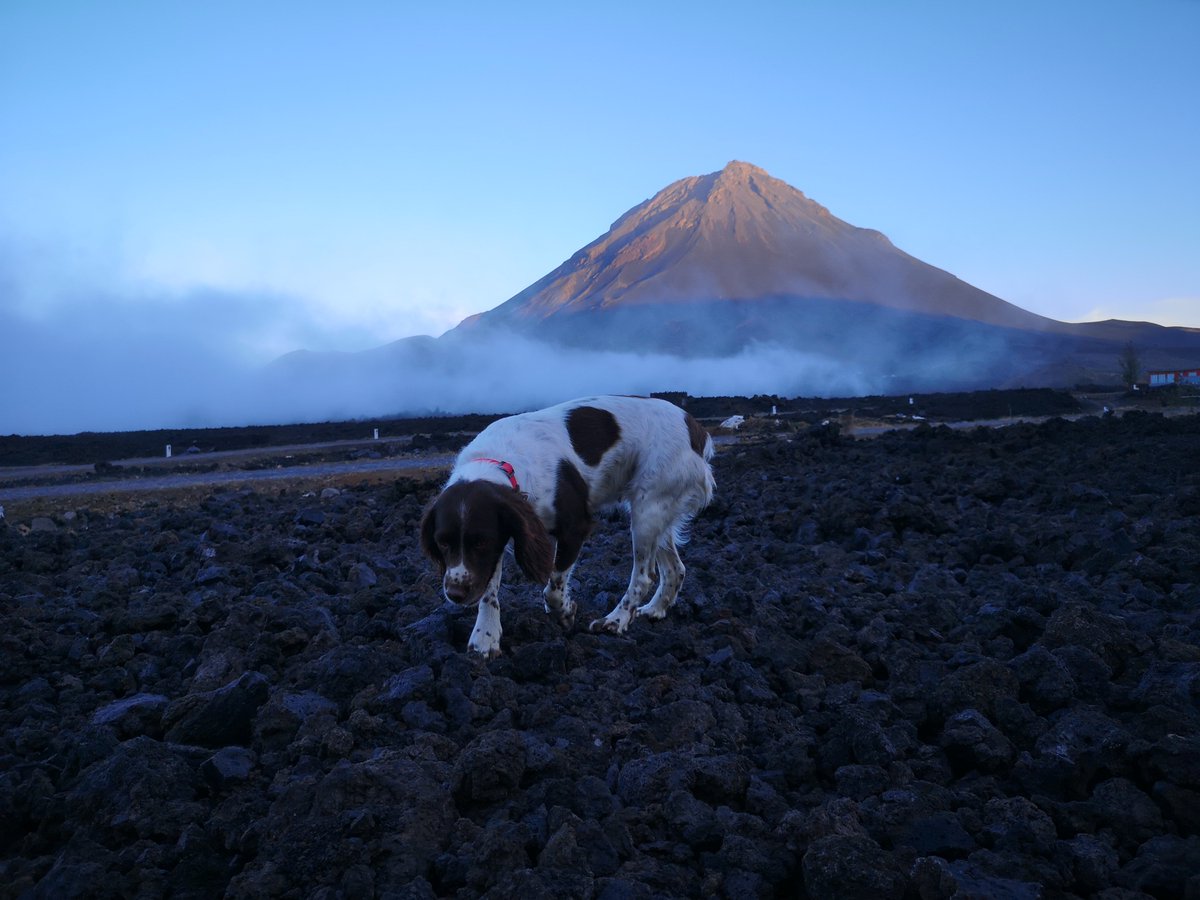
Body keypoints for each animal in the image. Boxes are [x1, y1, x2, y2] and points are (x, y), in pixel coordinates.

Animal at [420, 393, 710, 657]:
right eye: (442, 542)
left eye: (481, 542)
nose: (455, 593)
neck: (500, 461)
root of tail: (695, 428)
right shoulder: (503, 537)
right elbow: (488, 591)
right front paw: (485, 636)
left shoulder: (574, 527)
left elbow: (554, 587)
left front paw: (565, 613)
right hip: (660, 511)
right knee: (675, 569)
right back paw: (655, 610)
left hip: (647, 510)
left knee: (643, 576)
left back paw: (615, 621)